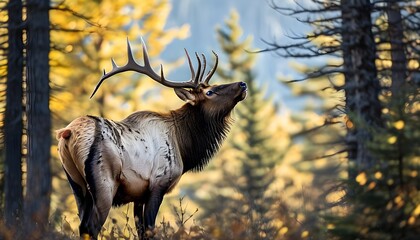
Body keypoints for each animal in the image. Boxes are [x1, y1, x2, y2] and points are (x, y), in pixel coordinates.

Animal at [55, 38, 246, 239]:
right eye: (209, 92)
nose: (242, 84)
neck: (183, 146)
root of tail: (67, 133)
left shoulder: (139, 194)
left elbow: (141, 231)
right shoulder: (158, 183)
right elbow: (150, 229)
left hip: (77, 186)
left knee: (82, 225)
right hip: (104, 183)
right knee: (91, 226)